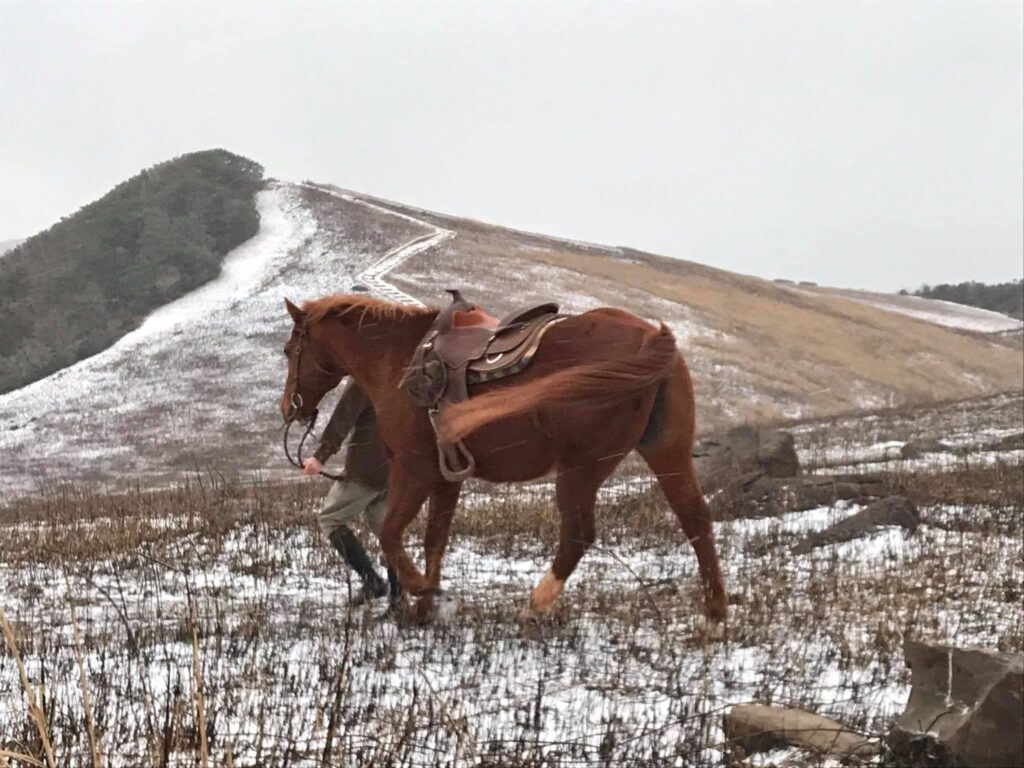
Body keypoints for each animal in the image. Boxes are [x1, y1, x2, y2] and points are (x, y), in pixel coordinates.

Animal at [280, 294, 729, 626]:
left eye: (288, 350)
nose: (289, 408)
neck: (401, 359)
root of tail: (652, 337)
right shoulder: (448, 478)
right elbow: (434, 540)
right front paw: (424, 610)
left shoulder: (414, 469)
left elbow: (391, 534)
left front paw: (426, 591)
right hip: (666, 451)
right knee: (695, 518)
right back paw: (715, 613)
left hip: (582, 467)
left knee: (579, 533)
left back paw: (536, 604)